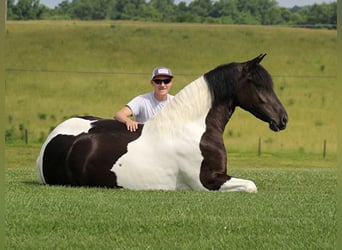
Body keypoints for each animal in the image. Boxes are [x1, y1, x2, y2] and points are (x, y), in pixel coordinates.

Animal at [36, 53, 288, 192]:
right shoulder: (206, 182)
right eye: (258, 84)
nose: (283, 119)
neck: (194, 128)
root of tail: (51, 139)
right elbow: (251, 185)